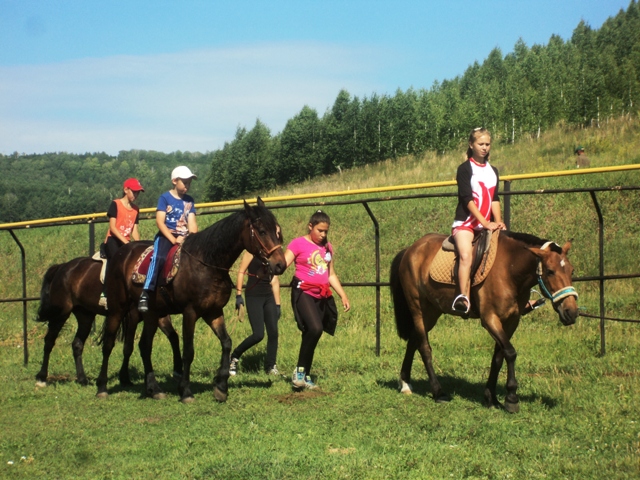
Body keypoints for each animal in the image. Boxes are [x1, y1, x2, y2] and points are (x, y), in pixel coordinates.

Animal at [35, 255, 182, 386]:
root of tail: (63, 267)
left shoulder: (160, 316)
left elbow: (174, 337)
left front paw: (177, 372)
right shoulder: (132, 316)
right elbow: (128, 347)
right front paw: (125, 378)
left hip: (85, 316)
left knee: (77, 344)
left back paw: (82, 379)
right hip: (61, 313)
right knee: (49, 341)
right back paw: (41, 378)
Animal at [96, 197, 284, 404]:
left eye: (277, 231)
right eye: (262, 231)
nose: (280, 264)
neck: (207, 264)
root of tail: (122, 253)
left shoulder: (213, 312)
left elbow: (226, 342)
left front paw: (221, 386)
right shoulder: (190, 312)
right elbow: (188, 351)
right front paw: (185, 390)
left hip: (151, 314)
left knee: (144, 346)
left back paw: (153, 388)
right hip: (118, 309)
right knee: (108, 344)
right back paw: (102, 387)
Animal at [390, 232, 580, 412]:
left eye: (571, 271)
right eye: (550, 271)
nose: (571, 312)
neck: (509, 269)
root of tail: (410, 249)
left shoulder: (511, 321)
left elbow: (498, 357)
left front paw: (491, 398)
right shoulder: (490, 319)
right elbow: (510, 353)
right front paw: (511, 398)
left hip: (431, 312)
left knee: (413, 341)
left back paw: (405, 383)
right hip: (418, 309)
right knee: (424, 348)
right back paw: (438, 392)